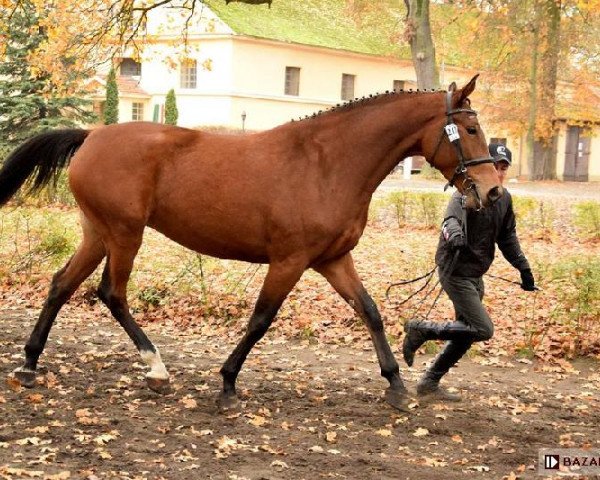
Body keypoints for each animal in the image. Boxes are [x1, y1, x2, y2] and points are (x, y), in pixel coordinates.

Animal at [0, 76, 502, 412]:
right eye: (470, 130)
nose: (493, 191)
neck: (327, 163)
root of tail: (92, 135)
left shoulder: (333, 259)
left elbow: (370, 311)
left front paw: (395, 384)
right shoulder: (289, 261)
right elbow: (261, 320)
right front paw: (226, 384)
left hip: (98, 233)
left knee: (61, 285)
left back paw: (30, 364)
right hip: (124, 234)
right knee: (112, 293)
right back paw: (156, 368)